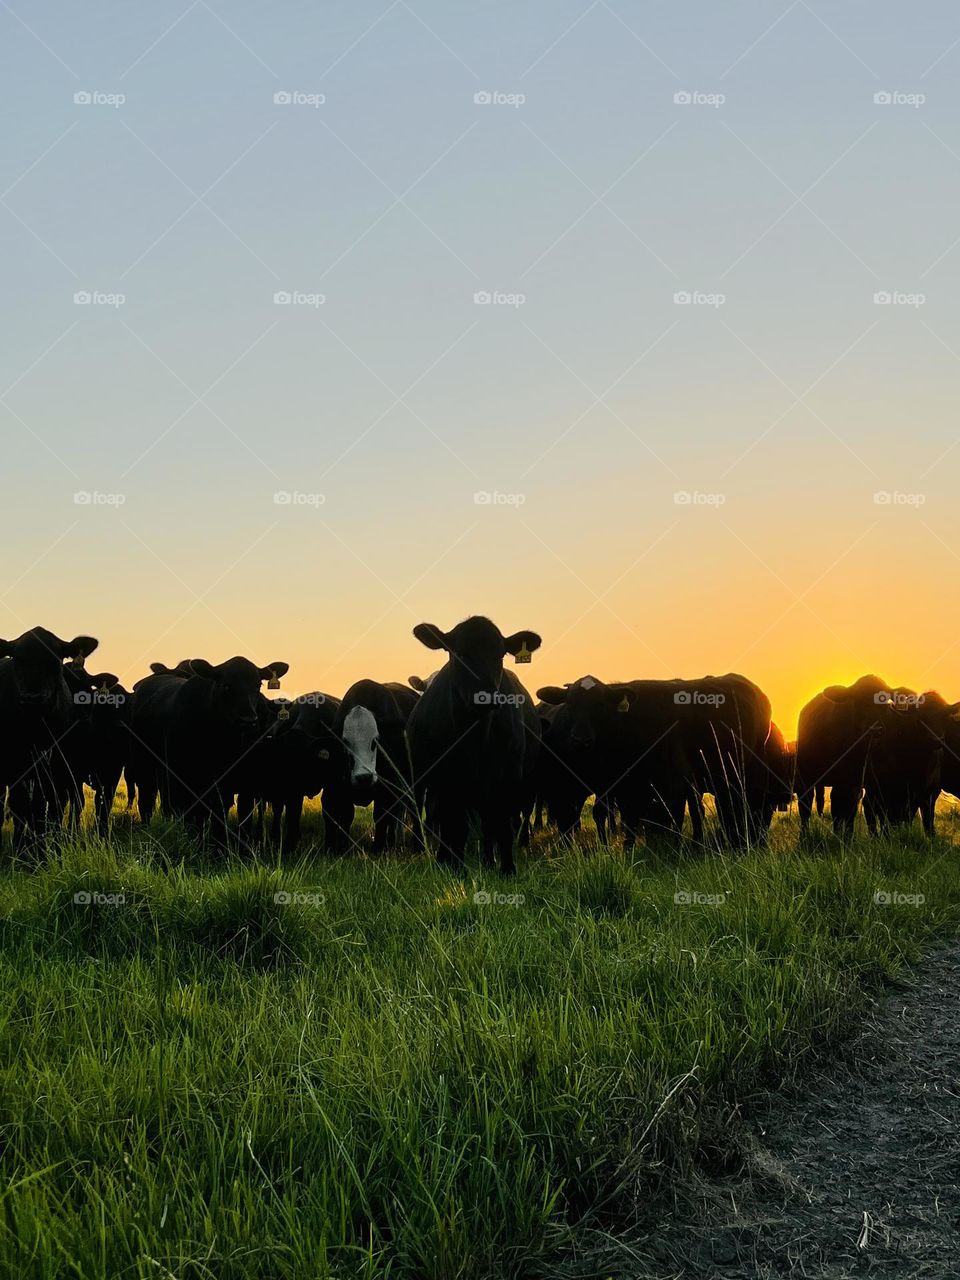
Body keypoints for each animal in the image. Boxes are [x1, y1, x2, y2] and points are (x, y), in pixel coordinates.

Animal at [0, 627, 98, 855]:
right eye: (17, 659)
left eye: (55, 660)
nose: (33, 698)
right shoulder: (16, 763)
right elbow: (22, 806)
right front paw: (23, 850)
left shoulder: (56, 764)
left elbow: (47, 806)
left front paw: (46, 848)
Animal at [330, 680, 419, 849]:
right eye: (346, 742)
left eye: (375, 741)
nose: (364, 777)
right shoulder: (341, 785)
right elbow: (345, 814)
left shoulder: (387, 786)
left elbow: (381, 815)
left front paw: (378, 847)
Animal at [407, 616, 542, 875]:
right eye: (459, 653)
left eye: (500, 654)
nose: (486, 696)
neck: (476, 739)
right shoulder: (449, 780)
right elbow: (455, 827)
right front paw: (456, 868)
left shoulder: (508, 776)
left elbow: (502, 826)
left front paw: (507, 869)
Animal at [798, 675, 896, 834]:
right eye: (858, 702)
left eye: (885, 702)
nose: (875, 729)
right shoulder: (843, 780)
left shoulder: (864, 782)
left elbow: (853, 809)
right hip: (805, 776)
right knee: (805, 806)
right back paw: (804, 836)